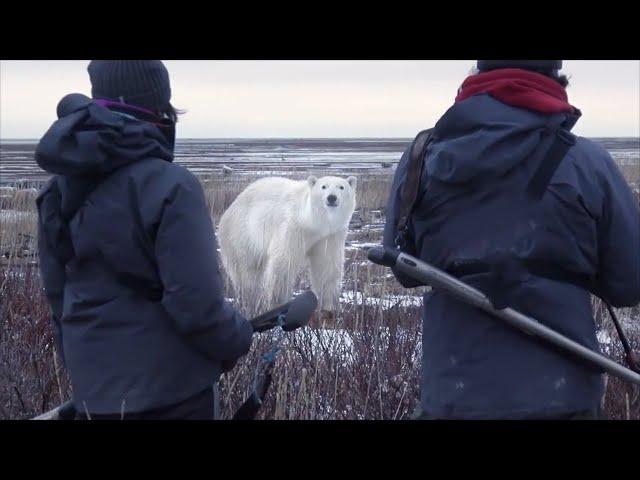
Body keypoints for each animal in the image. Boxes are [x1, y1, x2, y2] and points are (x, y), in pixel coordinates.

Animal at [219, 174, 358, 314]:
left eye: (341, 187)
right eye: (323, 186)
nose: (332, 197)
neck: (312, 223)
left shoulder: (330, 235)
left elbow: (326, 265)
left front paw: (327, 305)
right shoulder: (293, 227)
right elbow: (284, 262)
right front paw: (277, 302)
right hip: (243, 234)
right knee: (247, 270)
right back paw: (250, 297)